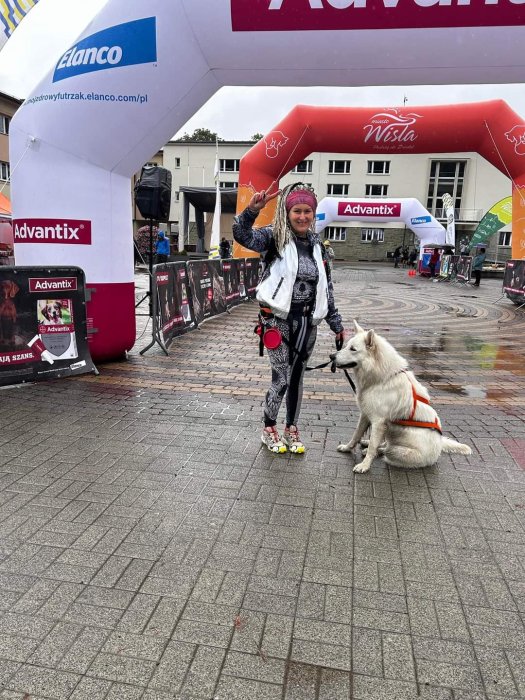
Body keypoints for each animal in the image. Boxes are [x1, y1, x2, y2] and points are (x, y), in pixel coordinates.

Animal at [332, 320, 470, 474]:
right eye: (346, 346)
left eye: (353, 349)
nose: (331, 356)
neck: (382, 378)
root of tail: (440, 445)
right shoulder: (366, 415)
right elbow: (356, 434)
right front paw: (347, 447)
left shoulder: (379, 422)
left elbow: (373, 447)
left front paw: (365, 465)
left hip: (397, 451)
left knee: (386, 449)